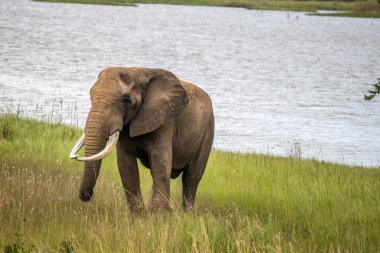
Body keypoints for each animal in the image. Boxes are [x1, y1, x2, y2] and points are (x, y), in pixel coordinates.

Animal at [69, 66, 214, 211]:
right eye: (90, 96)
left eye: (126, 100)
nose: (85, 196)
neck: (138, 72)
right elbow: (126, 166)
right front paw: (139, 213)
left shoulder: (164, 120)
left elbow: (161, 162)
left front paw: (158, 213)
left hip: (208, 130)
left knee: (191, 177)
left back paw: (187, 213)